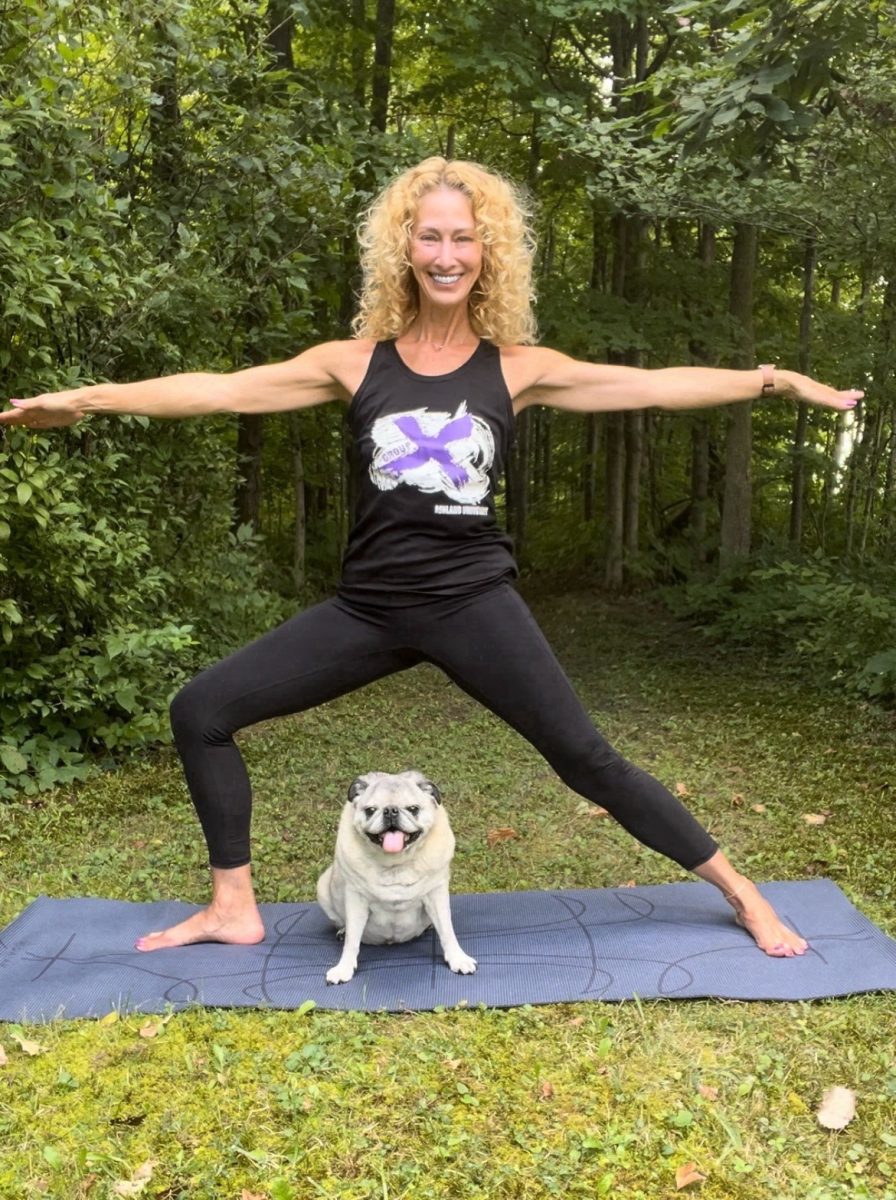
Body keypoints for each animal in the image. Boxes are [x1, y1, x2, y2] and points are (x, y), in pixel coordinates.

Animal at [319, 768, 479, 984]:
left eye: (413, 809)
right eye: (370, 810)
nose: (391, 811)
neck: (395, 864)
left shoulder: (436, 894)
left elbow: (447, 931)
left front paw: (457, 958)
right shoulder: (355, 899)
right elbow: (352, 939)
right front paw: (344, 967)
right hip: (323, 887)